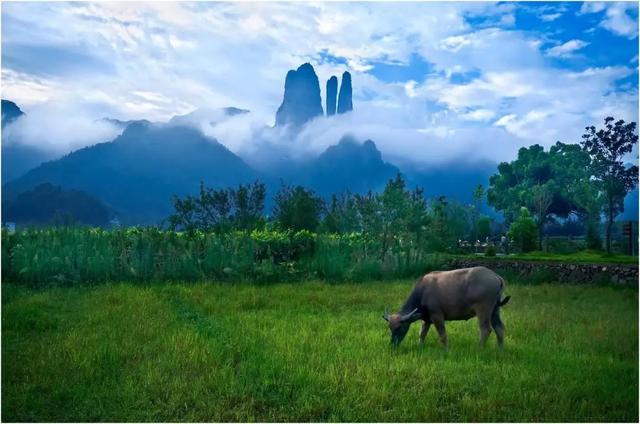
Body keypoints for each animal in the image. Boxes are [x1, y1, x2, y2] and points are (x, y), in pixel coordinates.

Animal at [382, 268, 512, 348]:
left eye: (399, 328)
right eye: (390, 328)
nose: (392, 344)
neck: (423, 292)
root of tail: (496, 276)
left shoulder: (437, 316)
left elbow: (443, 335)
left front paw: (445, 350)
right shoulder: (426, 320)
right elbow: (422, 334)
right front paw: (420, 346)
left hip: (483, 310)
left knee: (486, 329)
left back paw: (479, 348)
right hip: (495, 310)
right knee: (499, 328)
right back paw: (500, 349)